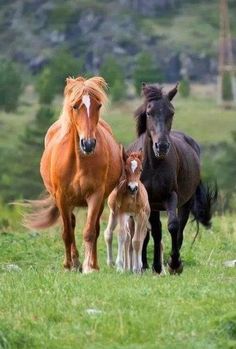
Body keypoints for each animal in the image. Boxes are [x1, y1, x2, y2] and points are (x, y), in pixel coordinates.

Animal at [24, 75, 122, 272]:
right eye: (75, 106)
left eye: (98, 105)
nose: (88, 144)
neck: (79, 161)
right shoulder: (62, 197)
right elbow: (67, 233)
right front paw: (69, 265)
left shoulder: (96, 195)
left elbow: (90, 232)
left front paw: (90, 267)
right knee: (71, 223)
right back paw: (75, 262)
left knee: (94, 228)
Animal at [128, 82, 217, 274]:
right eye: (149, 112)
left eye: (172, 112)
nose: (161, 146)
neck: (154, 165)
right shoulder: (149, 200)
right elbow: (154, 231)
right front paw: (152, 265)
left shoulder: (171, 196)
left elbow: (173, 226)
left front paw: (174, 263)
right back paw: (145, 264)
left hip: (186, 202)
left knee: (180, 228)